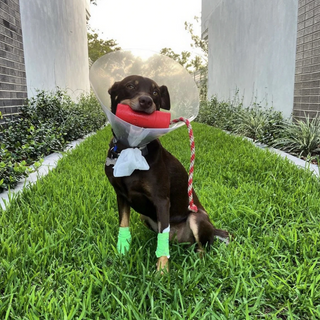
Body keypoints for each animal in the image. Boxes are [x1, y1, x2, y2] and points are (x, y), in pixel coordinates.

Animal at [104, 75, 228, 272]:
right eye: (130, 86)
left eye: (155, 92)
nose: (146, 101)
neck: (131, 149)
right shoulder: (121, 194)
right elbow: (123, 224)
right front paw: (122, 252)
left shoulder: (161, 200)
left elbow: (162, 238)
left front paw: (162, 271)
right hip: (145, 217)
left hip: (197, 218)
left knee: (203, 247)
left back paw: (197, 263)